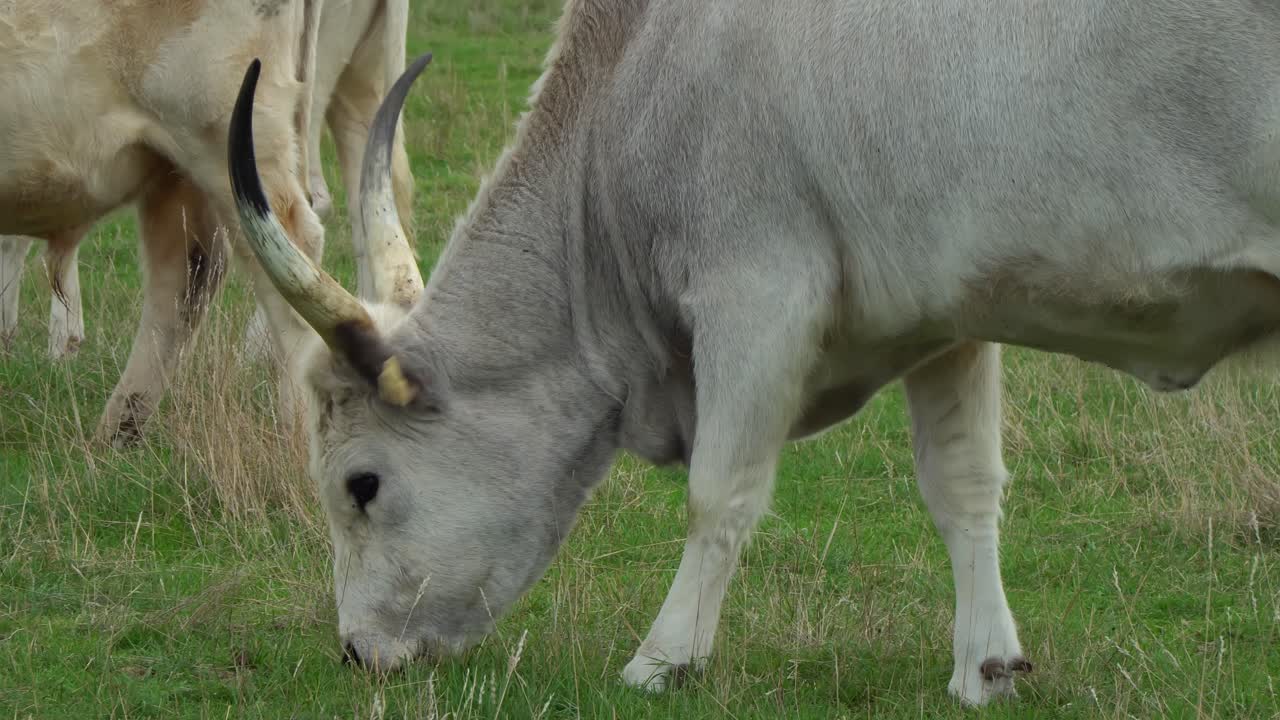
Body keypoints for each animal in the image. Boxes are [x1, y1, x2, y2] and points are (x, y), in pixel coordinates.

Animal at [0, 0, 347, 444]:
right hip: (175, 164)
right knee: (187, 275)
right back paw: (119, 430)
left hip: (230, 137)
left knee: (286, 265)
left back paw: (298, 432)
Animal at [229, 0, 1280, 707]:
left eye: (362, 484)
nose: (358, 651)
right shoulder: (946, 312)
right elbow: (964, 488)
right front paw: (984, 664)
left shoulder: (755, 297)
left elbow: (719, 495)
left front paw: (665, 658)